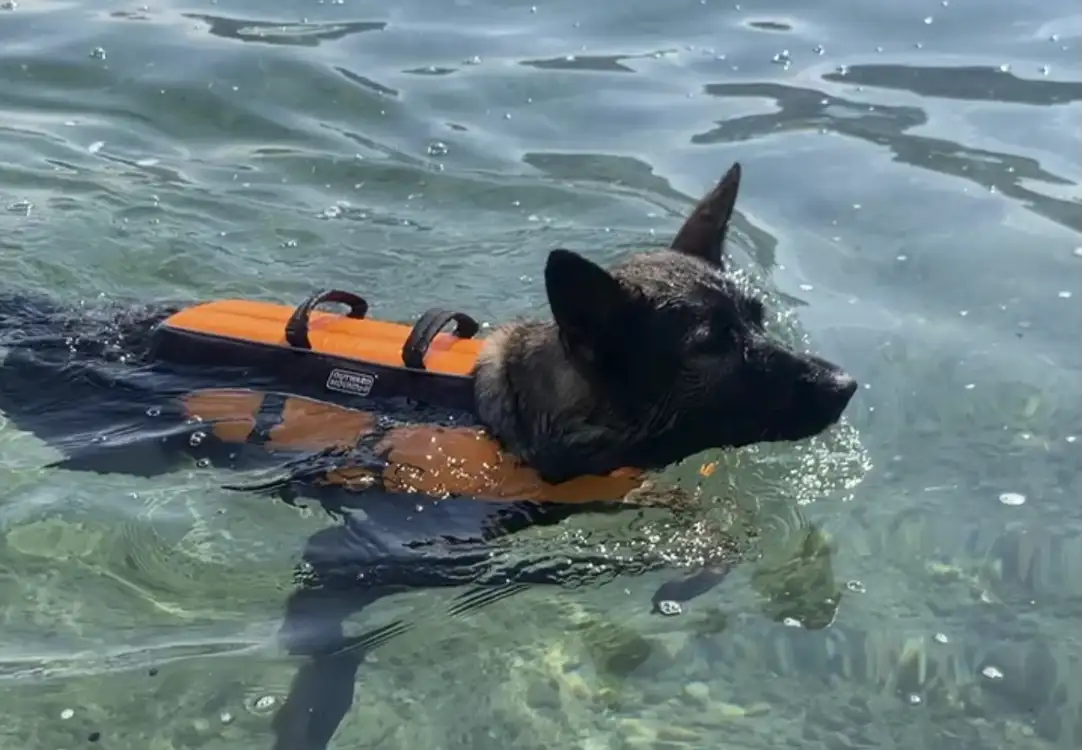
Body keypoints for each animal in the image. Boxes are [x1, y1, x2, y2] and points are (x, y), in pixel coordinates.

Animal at [2, 161, 861, 744]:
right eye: (712, 344)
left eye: (757, 318)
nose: (847, 382)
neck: (511, 415)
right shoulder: (350, 560)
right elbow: (328, 657)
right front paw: (308, 718)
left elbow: (714, 528)